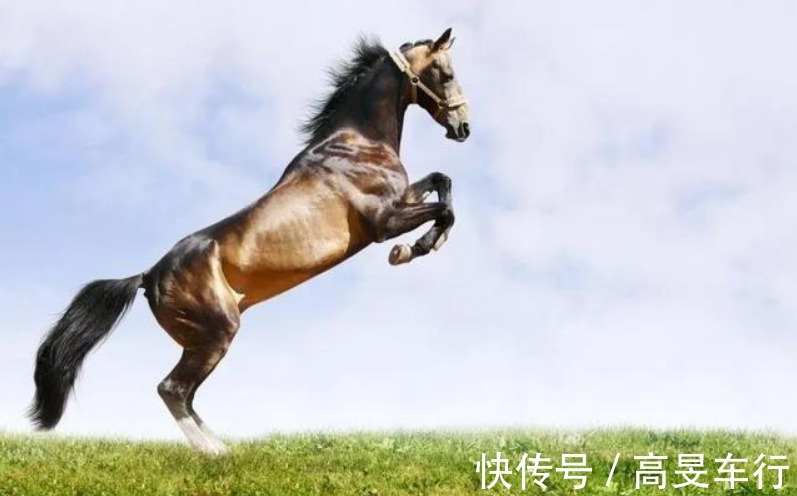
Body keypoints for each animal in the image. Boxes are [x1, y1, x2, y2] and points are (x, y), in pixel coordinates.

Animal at [28, 28, 470, 454]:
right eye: (446, 74)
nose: (464, 128)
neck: (357, 143)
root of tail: (147, 276)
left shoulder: (402, 199)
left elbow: (442, 182)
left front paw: (426, 242)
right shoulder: (383, 222)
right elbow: (443, 210)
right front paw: (412, 250)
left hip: (200, 340)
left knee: (185, 393)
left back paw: (224, 446)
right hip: (216, 332)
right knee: (172, 389)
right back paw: (213, 452)